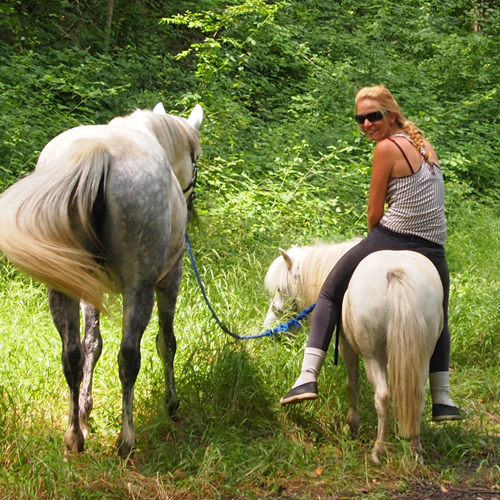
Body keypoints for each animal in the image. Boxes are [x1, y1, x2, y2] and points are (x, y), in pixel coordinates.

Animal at [264, 242, 444, 464]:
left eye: (280, 289)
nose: (269, 328)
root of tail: (396, 273)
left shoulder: (346, 346)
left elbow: (352, 385)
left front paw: (352, 426)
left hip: (373, 357)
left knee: (382, 396)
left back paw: (378, 450)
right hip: (422, 355)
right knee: (417, 396)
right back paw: (415, 449)